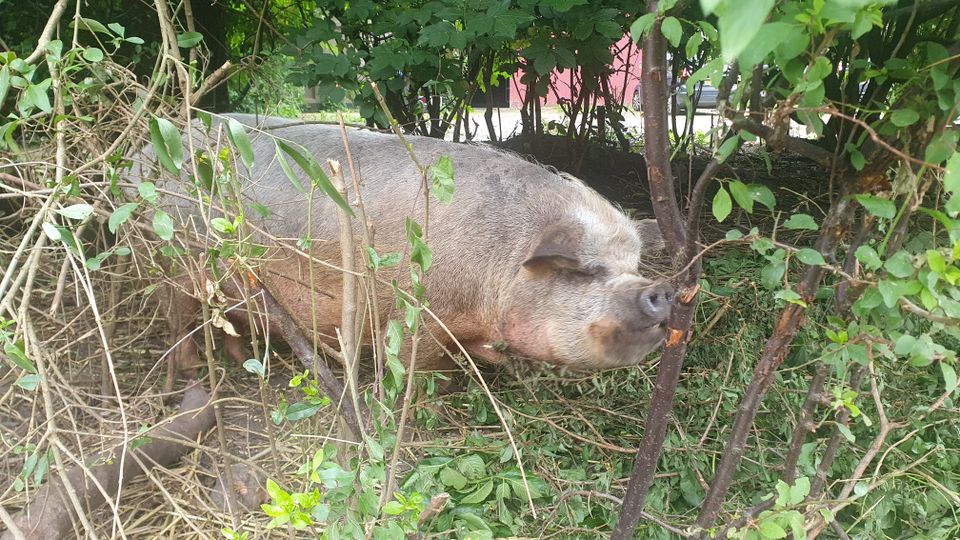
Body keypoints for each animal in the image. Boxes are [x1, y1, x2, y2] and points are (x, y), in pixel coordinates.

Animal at [141, 114, 674, 374]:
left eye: (634, 264)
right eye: (586, 270)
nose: (660, 290)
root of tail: (144, 150)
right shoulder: (417, 312)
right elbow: (418, 368)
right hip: (169, 261)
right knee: (177, 317)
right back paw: (192, 372)